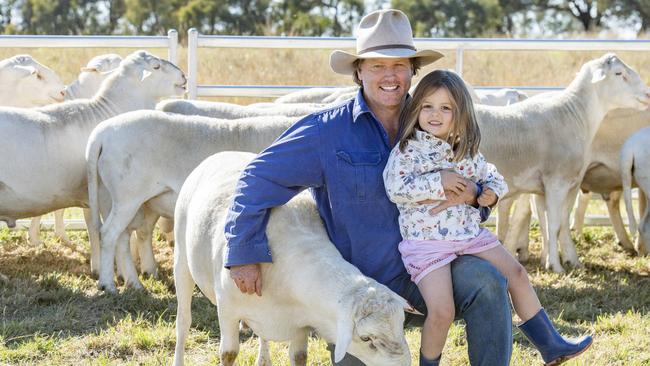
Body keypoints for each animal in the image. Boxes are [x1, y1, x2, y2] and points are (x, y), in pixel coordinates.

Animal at [0, 49, 185, 278]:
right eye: (156, 67)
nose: (183, 77)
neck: (109, 111)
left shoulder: (87, 196)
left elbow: (92, 228)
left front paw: (98, 267)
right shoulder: (104, 193)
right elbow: (108, 231)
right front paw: (117, 271)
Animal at [86, 111, 296, 292]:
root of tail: (101, 133)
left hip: (117, 197)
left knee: (125, 236)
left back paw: (136, 280)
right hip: (127, 196)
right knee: (109, 234)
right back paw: (109, 284)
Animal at [172, 151, 412, 366]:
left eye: (401, 325)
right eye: (366, 338)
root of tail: (219, 154)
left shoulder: (300, 325)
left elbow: (299, 357)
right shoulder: (227, 311)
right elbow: (229, 354)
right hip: (181, 258)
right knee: (183, 321)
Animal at [470, 53, 648, 272]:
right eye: (619, 73)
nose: (647, 95)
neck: (574, 116)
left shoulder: (545, 188)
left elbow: (553, 223)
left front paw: (555, 261)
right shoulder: (557, 182)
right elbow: (554, 224)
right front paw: (556, 265)